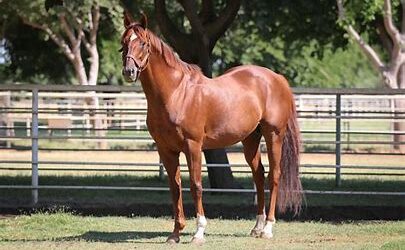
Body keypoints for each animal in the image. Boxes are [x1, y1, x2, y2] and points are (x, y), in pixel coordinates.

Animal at [121, 12, 302, 243]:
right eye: (124, 43)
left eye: (143, 43)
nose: (129, 71)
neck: (176, 93)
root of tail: (277, 78)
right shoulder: (166, 150)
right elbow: (175, 187)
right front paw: (175, 233)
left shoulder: (193, 147)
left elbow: (196, 185)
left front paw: (198, 233)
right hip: (250, 139)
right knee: (259, 175)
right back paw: (257, 227)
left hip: (274, 135)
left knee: (274, 175)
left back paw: (268, 228)